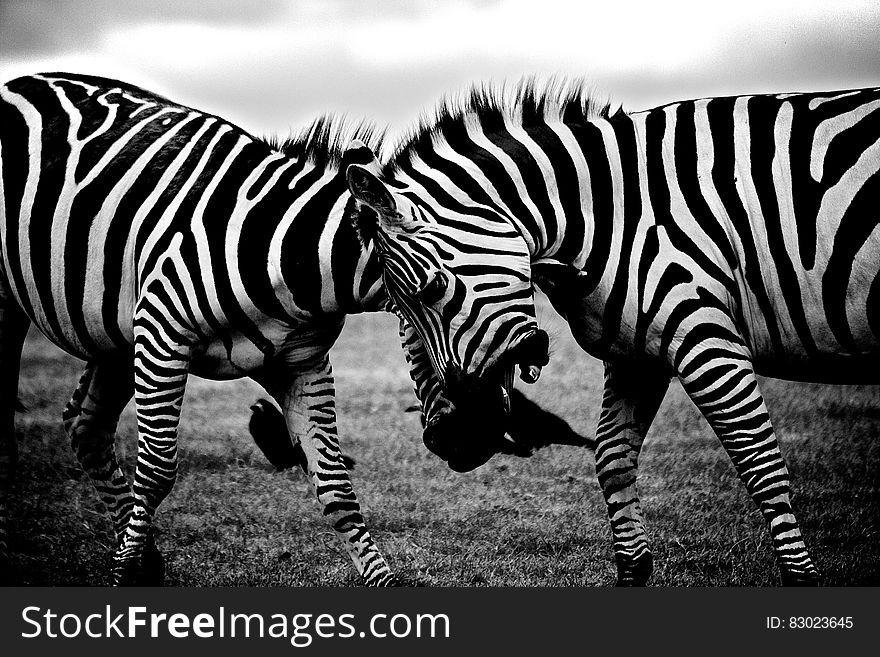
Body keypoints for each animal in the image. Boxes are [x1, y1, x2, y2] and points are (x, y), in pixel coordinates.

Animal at [0, 72, 532, 584]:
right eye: (430, 290)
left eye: (527, 270)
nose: (482, 436)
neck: (291, 257)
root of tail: (23, 82)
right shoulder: (160, 337)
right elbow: (155, 471)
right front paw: (122, 576)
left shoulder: (301, 365)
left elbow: (335, 485)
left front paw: (382, 581)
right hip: (24, 307)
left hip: (113, 333)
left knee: (85, 424)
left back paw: (144, 559)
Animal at [344, 80, 880, 584]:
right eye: (396, 309)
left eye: (431, 288)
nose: (450, 442)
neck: (613, 215)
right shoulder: (636, 354)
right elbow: (612, 458)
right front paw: (633, 570)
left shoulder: (707, 339)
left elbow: (760, 464)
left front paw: (800, 577)